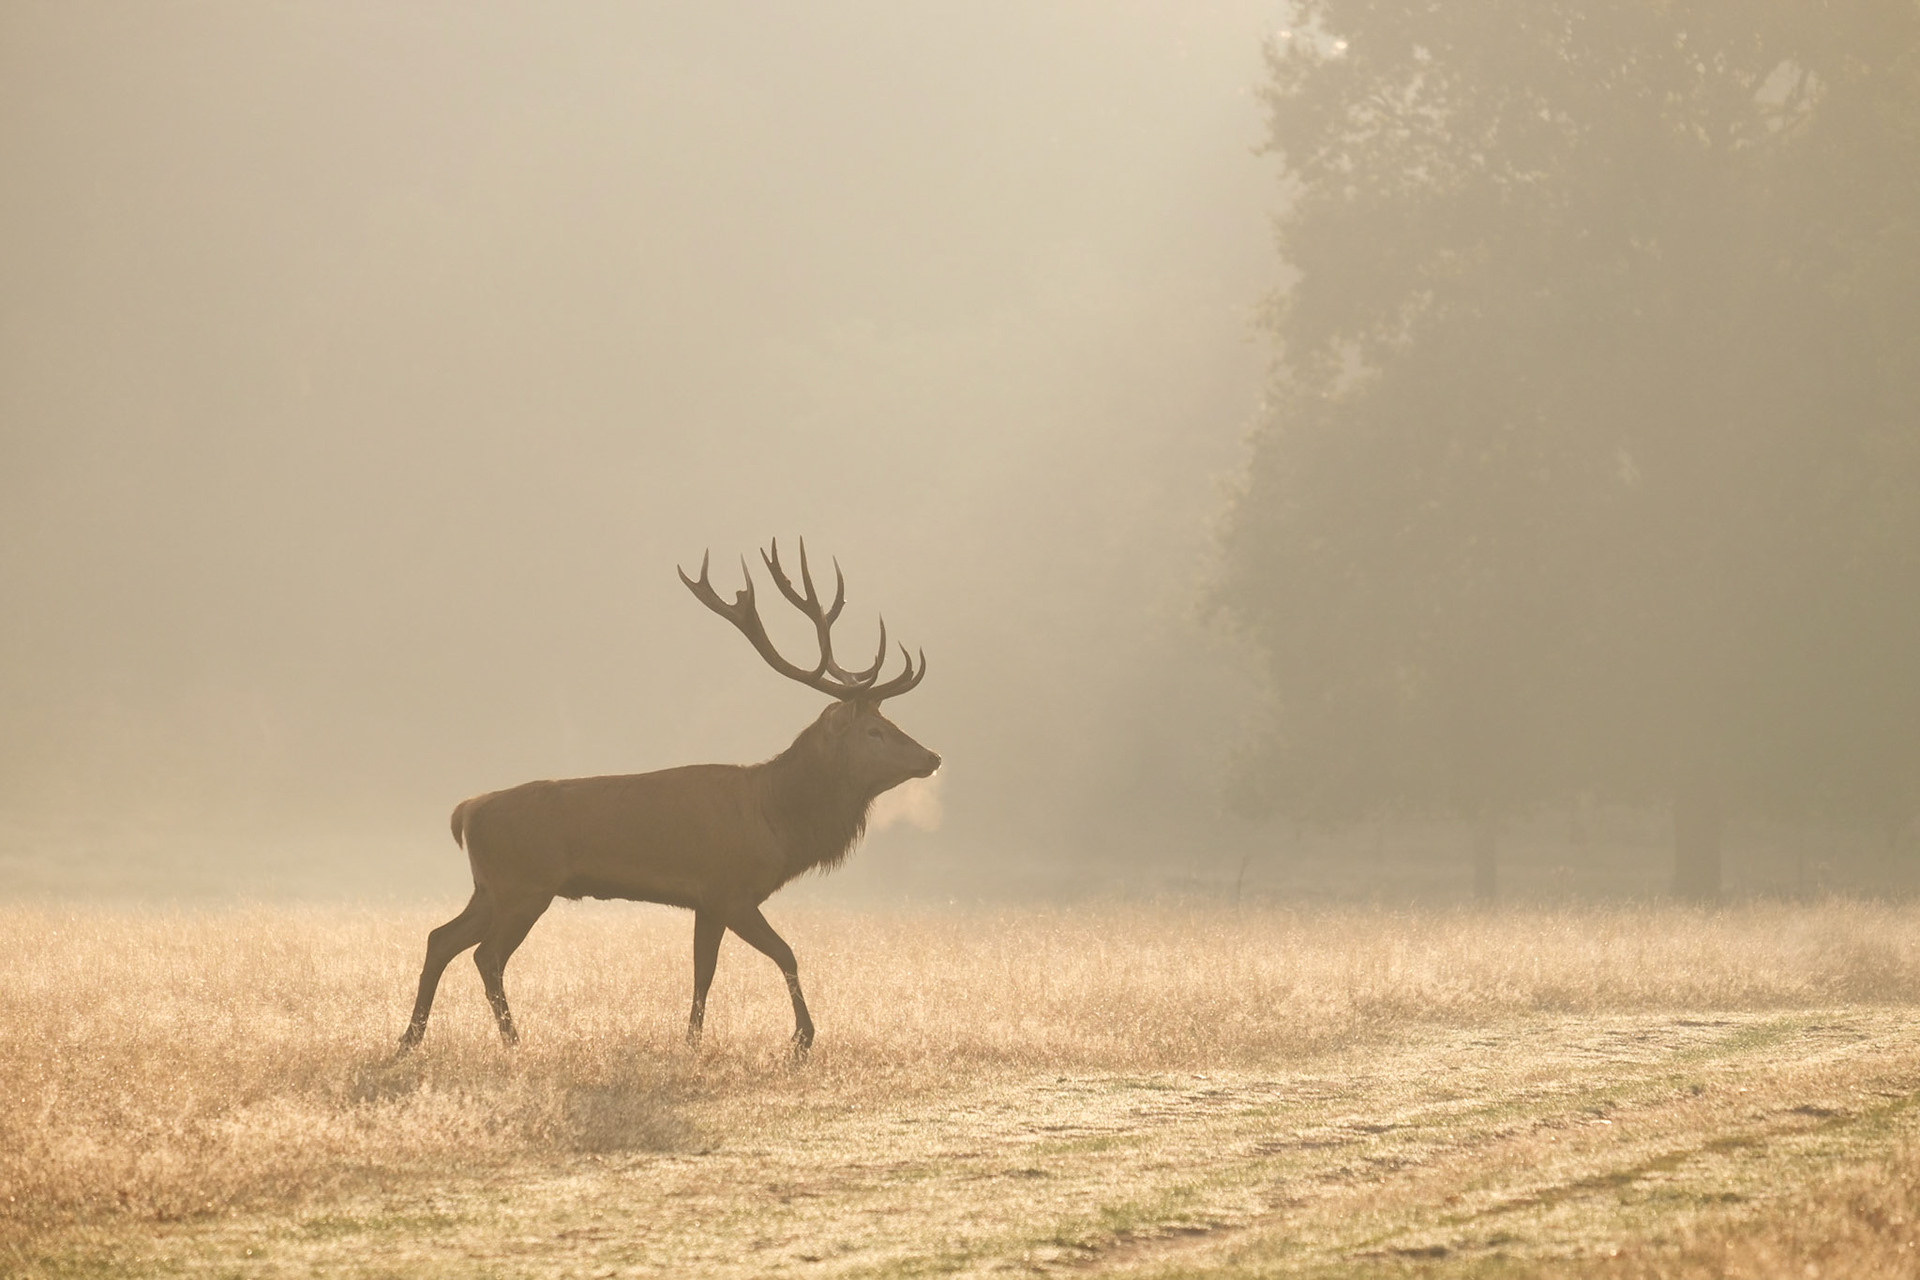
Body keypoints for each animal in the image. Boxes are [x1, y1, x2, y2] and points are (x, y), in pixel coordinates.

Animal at [393, 539, 939, 1059]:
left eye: (890, 722)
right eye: (873, 731)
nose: (931, 756)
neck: (777, 820)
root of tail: (466, 811)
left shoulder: (708, 901)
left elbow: (703, 971)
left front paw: (692, 1041)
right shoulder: (731, 890)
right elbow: (784, 954)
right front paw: (801, 1038)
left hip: (489, 887)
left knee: (441, 938)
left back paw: (410, 1038)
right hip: (523, 885)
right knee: (486, 955)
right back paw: (511, 1042)